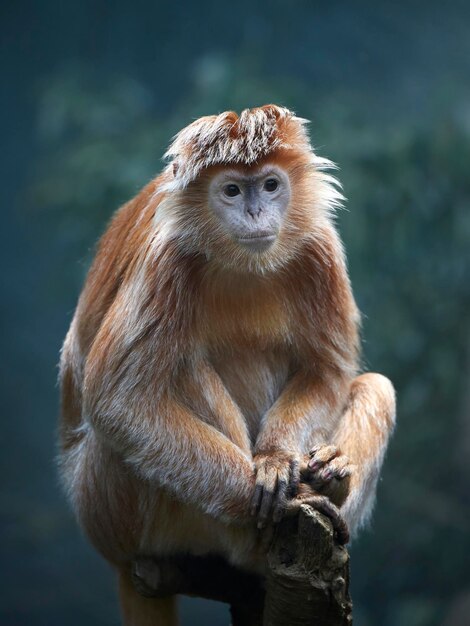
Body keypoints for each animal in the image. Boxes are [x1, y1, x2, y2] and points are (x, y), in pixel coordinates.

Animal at [59, 105, 396, 620]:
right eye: (232, 191)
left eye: (271, 185)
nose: (255, 213)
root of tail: (120, 560)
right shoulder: (167, 261)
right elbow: (118, 403)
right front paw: (283, 498)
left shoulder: (319, 248)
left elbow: (327, 371)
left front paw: (277, 460)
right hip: (114, 509)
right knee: (179, 368)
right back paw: (262, 536)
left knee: (377, 386)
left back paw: (333, 479)